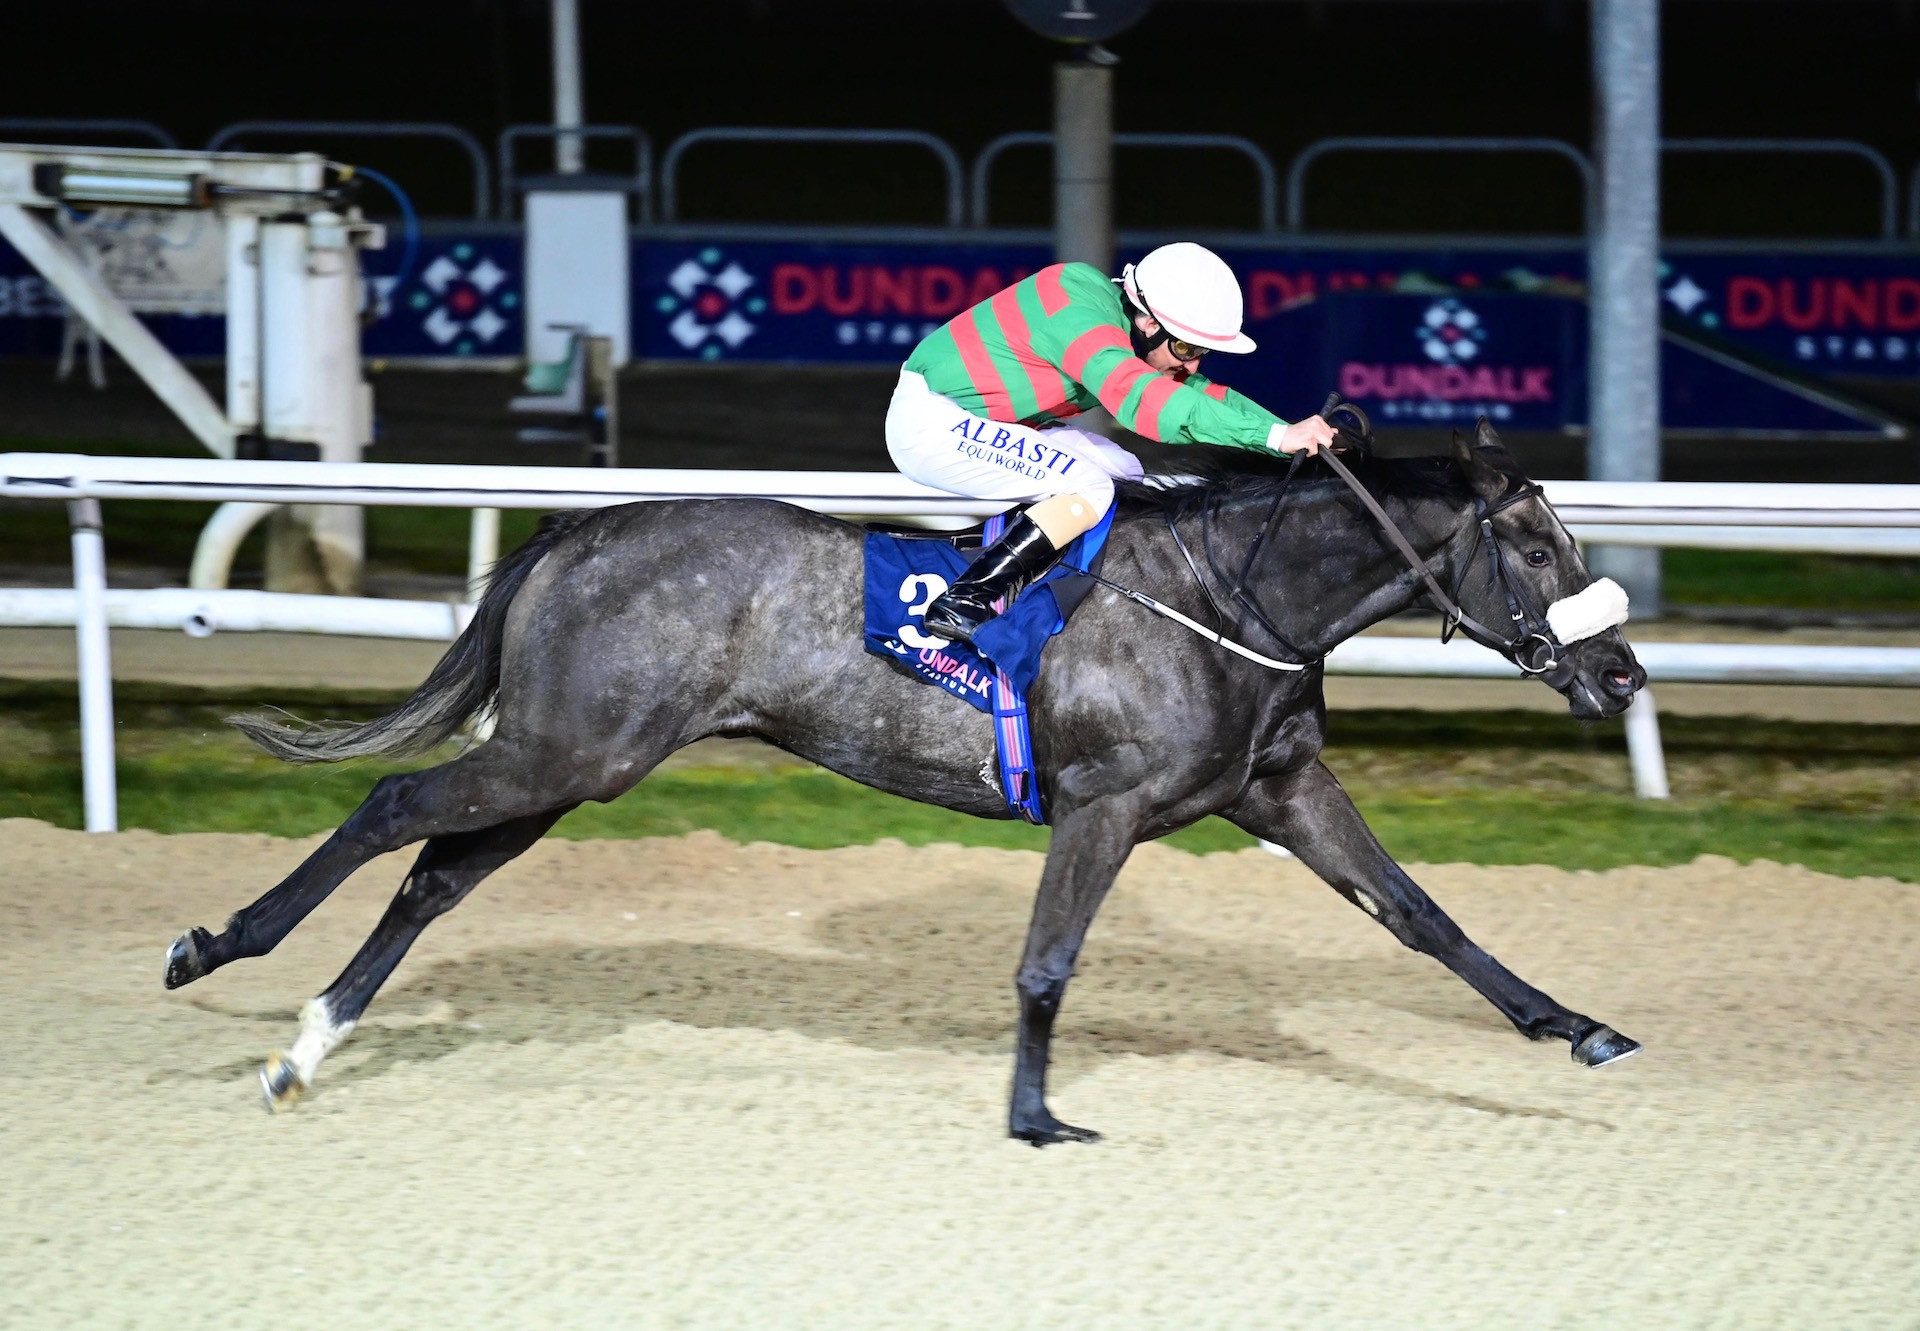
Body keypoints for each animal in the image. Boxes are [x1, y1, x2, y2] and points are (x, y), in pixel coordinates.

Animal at [165, 418, 1643, 1144]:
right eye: (1536, 546)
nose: (1624, 675)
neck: (1237, 597)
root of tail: (581, 529)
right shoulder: (1105, 805)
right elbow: (1047, 960)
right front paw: (1036, 1114)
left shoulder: (1279, 789)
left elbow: (1425, 916)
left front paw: (1577, 1026)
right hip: (566, 749)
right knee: (393, 811)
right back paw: (214, 945)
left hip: (573, 763)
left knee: (435, 873)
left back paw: (307, 1046)